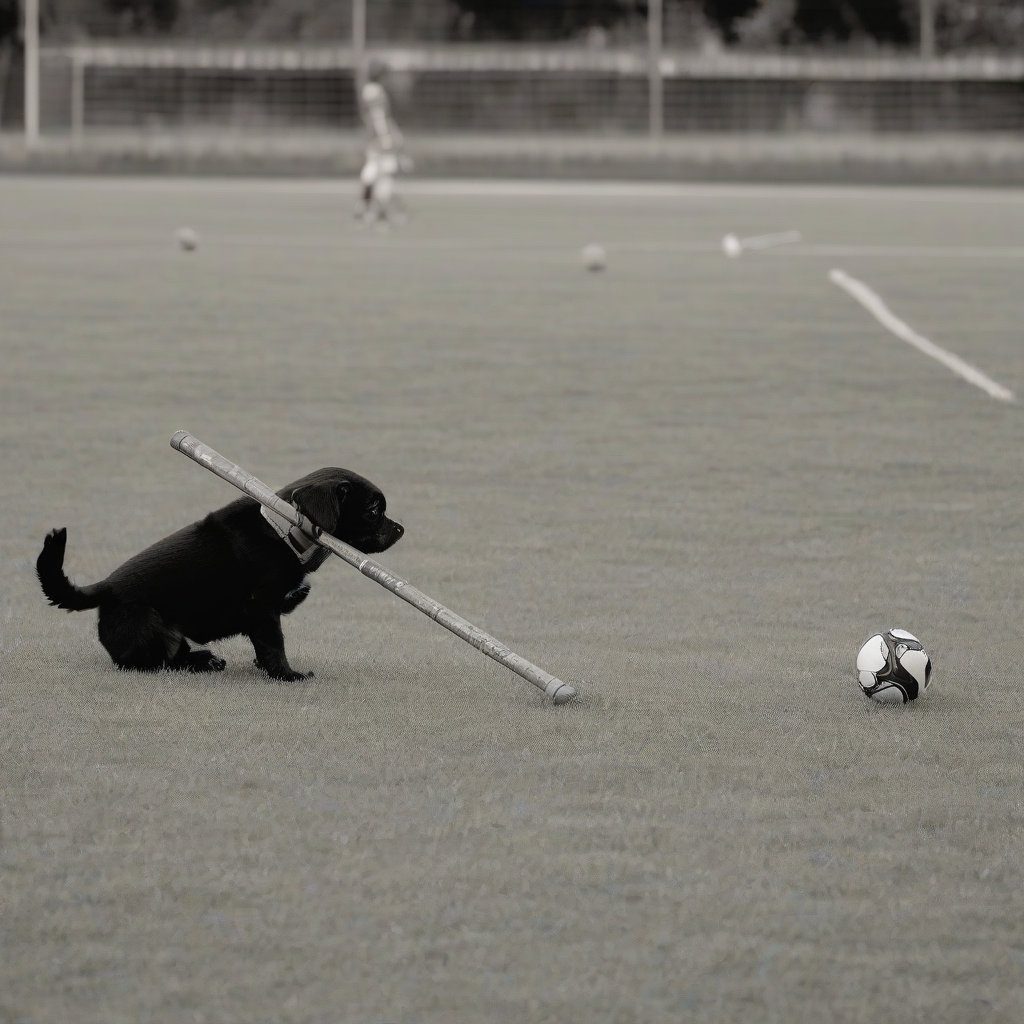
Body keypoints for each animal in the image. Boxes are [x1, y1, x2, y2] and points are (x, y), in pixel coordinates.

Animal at [36, 468, 403, 679]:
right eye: (374, 510)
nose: (401, 529)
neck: (283, 531)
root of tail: (105, 588)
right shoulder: (262, 606)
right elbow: (274, 643)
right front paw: (287, 675)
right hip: (155, 629)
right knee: (155, 662)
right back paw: (204, 663)